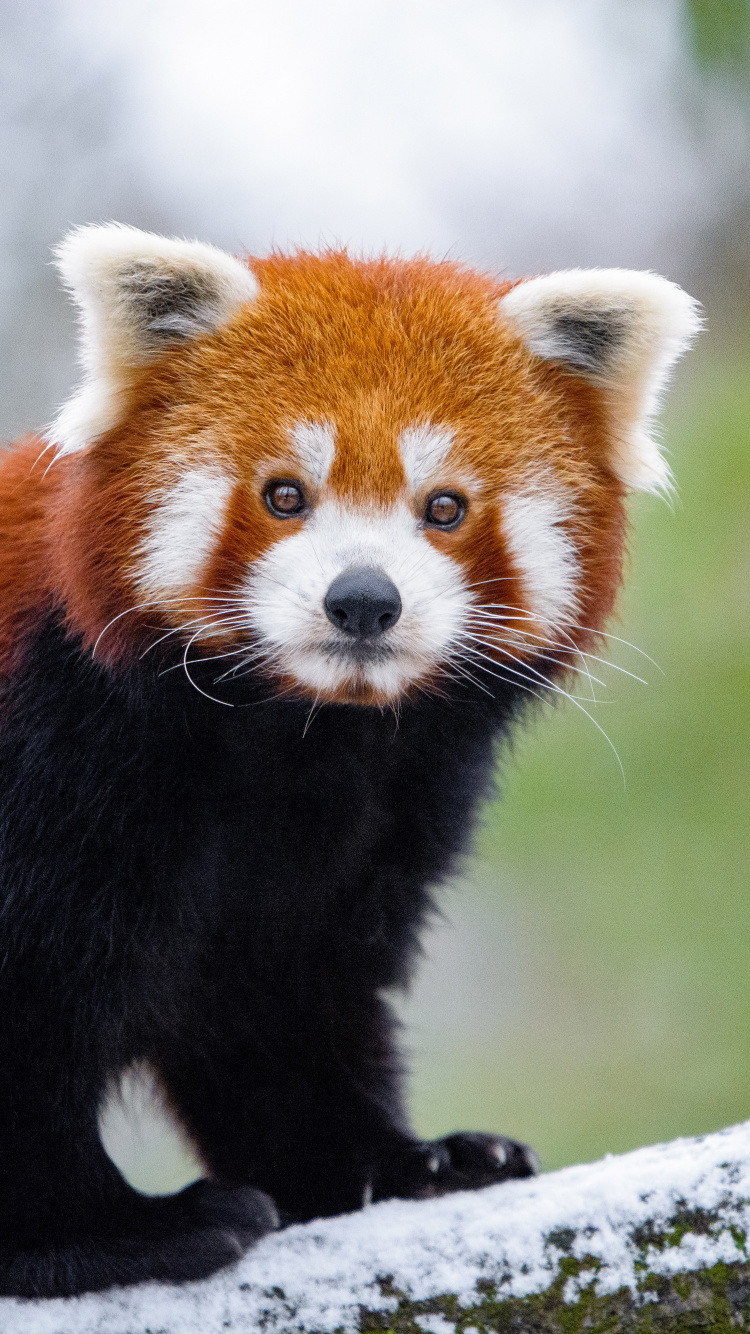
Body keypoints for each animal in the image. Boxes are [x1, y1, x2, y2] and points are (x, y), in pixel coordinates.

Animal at [0, 224, 699, 1296]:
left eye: (445, 508)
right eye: (285, 494)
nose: (363, 600)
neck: (305, 737)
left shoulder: (374, 810)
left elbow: (278, 992)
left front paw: (399, 1163)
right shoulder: (64, 748)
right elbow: (33, 1010)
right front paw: (98, 1233)